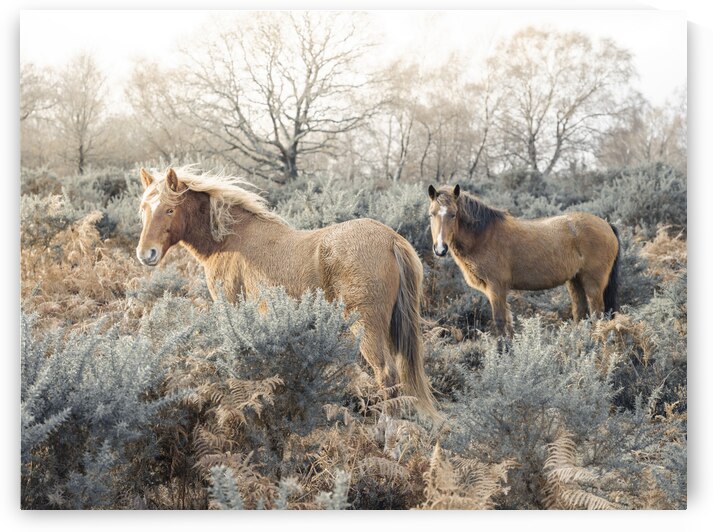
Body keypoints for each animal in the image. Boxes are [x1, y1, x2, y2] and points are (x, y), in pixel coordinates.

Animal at [136, 167, 437, 418]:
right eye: (143, 209)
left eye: (169, 210)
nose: (145, 253)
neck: (229, 239)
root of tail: (391, 239)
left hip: (367, 327)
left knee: (385, 373)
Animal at [427, 184, 620, 337]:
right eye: (431, 214)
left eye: (453, 214)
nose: (440, 249)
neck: (484, 236)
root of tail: (607, 224)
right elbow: (508, 323)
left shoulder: (496, 288)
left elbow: (500, 322)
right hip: (575, 281)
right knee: (580, 313)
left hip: (593, 284)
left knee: (597, 314)